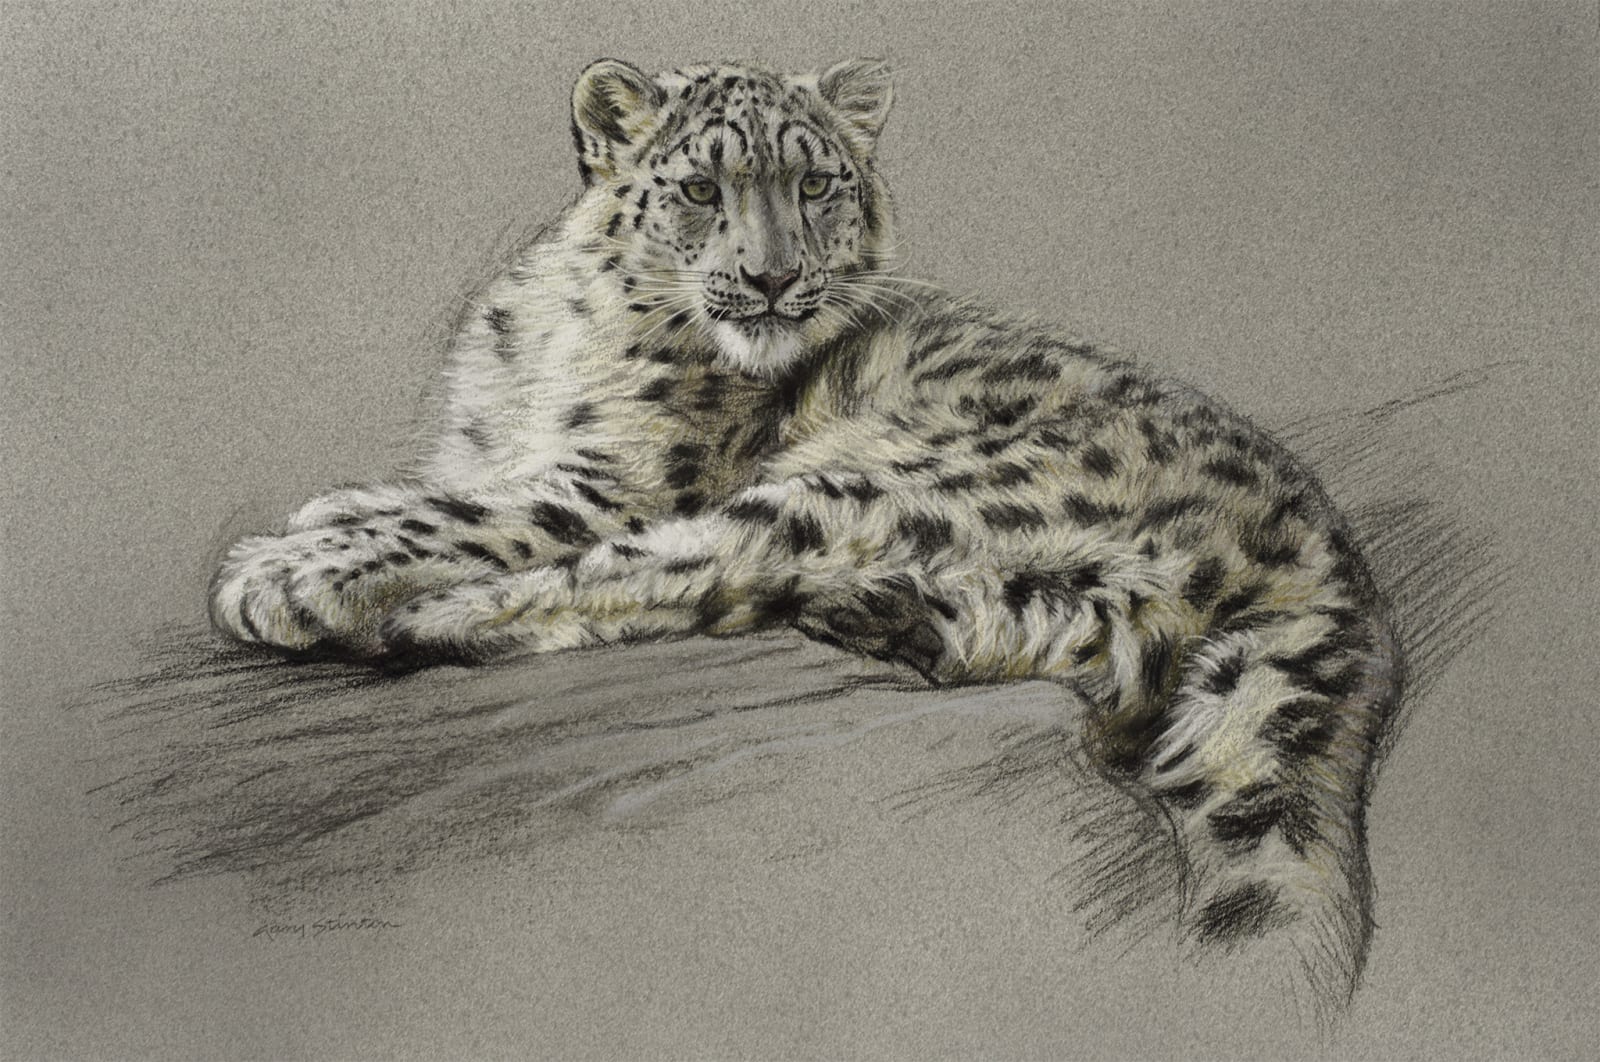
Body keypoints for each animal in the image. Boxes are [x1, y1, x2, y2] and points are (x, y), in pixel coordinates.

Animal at [210, 58, 1404, 1012]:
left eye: (816, 183)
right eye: (701, 188)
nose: (775, 276)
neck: (565, 327)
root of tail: (1316, 551)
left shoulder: (610, 487)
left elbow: (472, 515)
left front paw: (287, 570)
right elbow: (438, 489)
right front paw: (327, 513)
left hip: (860, 486)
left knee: (673, 576)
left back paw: (431, 616)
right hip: (1054, 585)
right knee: (1066, 647)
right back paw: (884, 615)